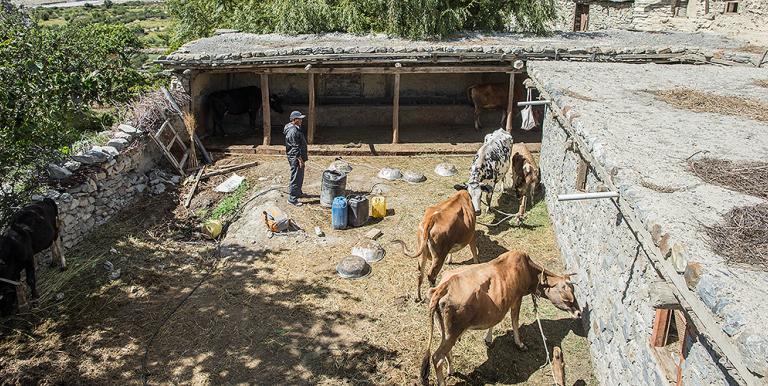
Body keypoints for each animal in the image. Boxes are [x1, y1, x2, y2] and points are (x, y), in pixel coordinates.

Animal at [420, 250, 584, 386]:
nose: (579, 313)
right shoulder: (517, 298)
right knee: (437, 358)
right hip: (453, 332)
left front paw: (488, 339)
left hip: (444, 330)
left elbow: (494, 321)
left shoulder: (496, 307)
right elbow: (515, 321)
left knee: (445, 353)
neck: (528, 270)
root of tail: (443, 286)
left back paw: (451, 370)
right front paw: (520, 344)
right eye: (567, 297)